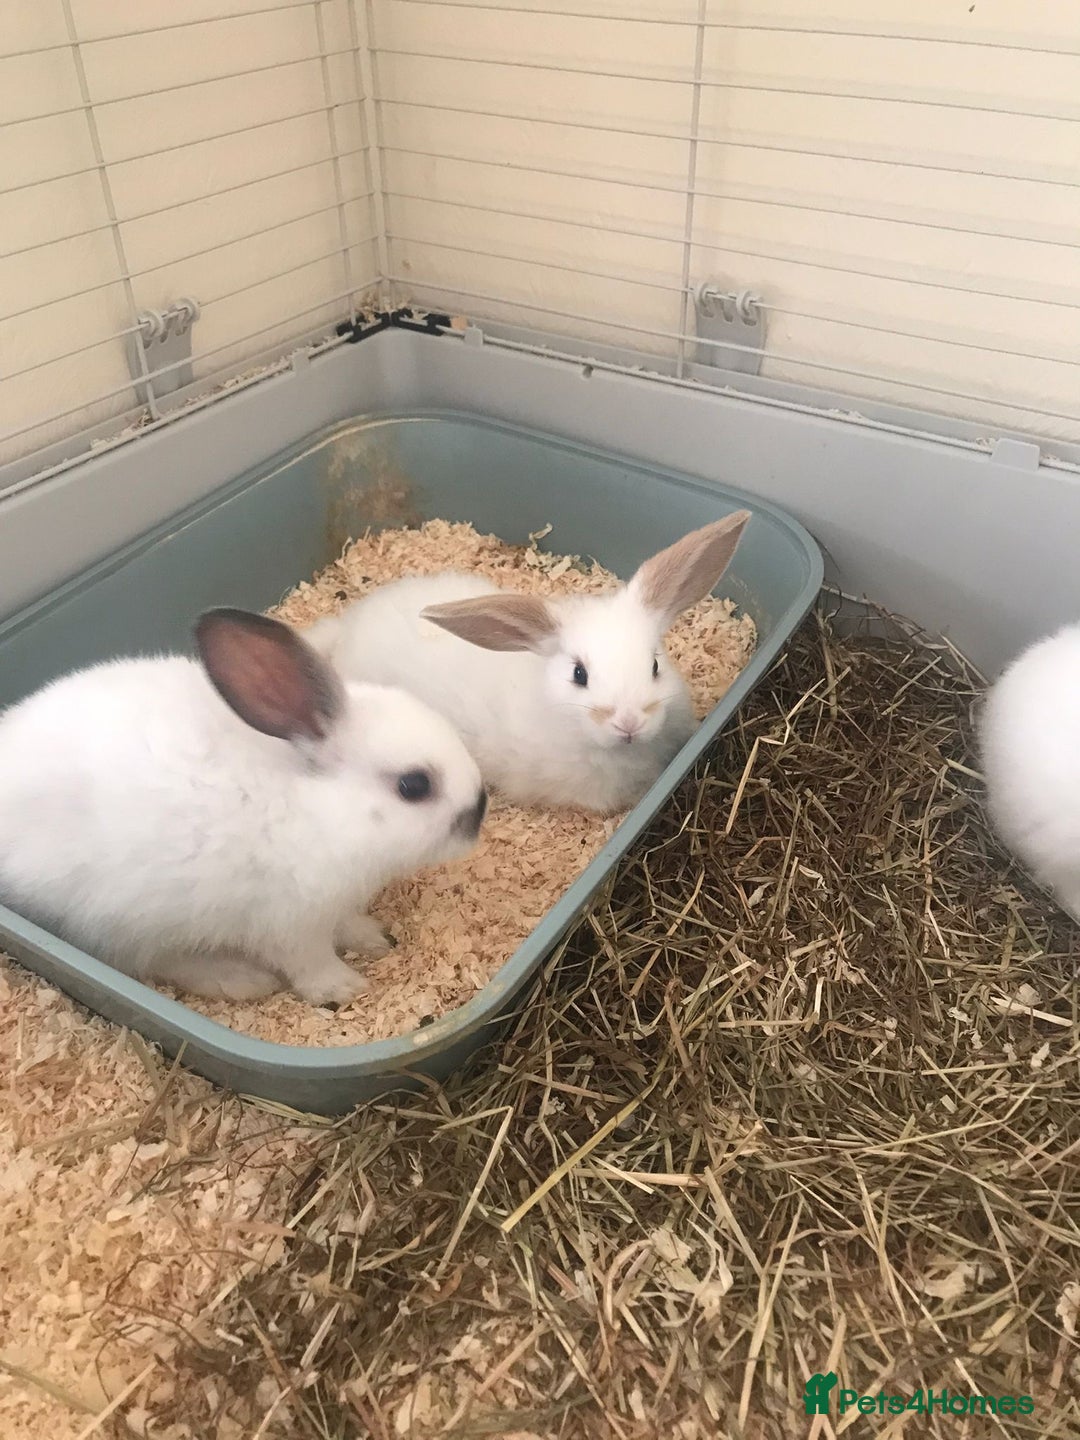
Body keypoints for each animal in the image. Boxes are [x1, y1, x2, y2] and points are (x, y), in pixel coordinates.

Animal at [0, 607, 488, 1006]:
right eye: (413, 785)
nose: (480, 810)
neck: (317, 809)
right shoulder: (290, 924)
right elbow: (310, 963)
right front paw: (345, 988)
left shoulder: (334, 906)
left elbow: (347, 925)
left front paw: (374, 937)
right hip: (123, 922)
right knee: (154, 963)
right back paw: (241, 980)